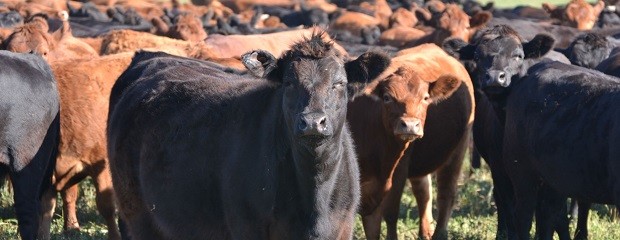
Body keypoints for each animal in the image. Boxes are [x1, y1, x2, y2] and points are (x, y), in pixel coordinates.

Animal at [105, 32, 388, 239]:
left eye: (339, 83)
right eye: (289, 83)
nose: (312, 122)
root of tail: (150, 56)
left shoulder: (342, 227)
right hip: (137, 213)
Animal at [348, 43, 474, 240]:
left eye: (425, 98)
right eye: (387, 97)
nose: (410, 125)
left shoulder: (396, 172)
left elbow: (390, 214)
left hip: (458, 149)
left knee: (446, 194)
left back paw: (439, 233)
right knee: (423, 191)